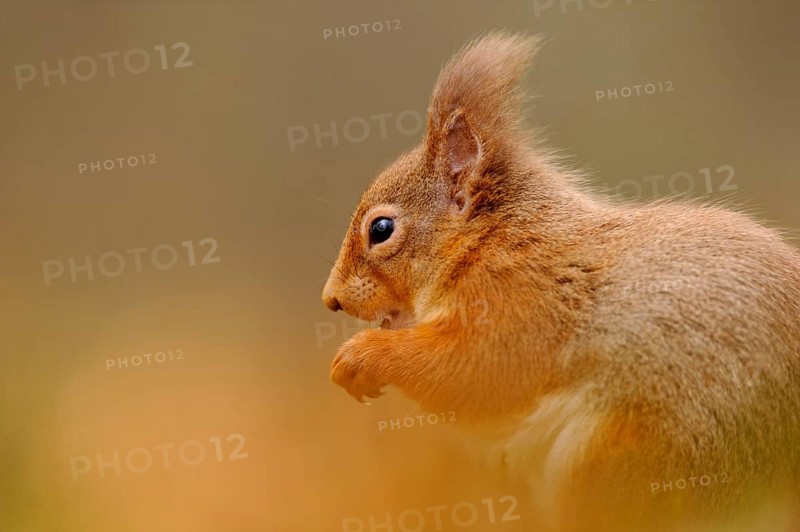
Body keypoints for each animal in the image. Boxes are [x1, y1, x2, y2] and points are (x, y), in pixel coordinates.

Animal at [321, 32, 800, 531]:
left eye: (381, 229)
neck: (487, 240)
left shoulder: (518, 301)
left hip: (630, 453)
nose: (330, 298)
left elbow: (471, 371)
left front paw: (361, 356)